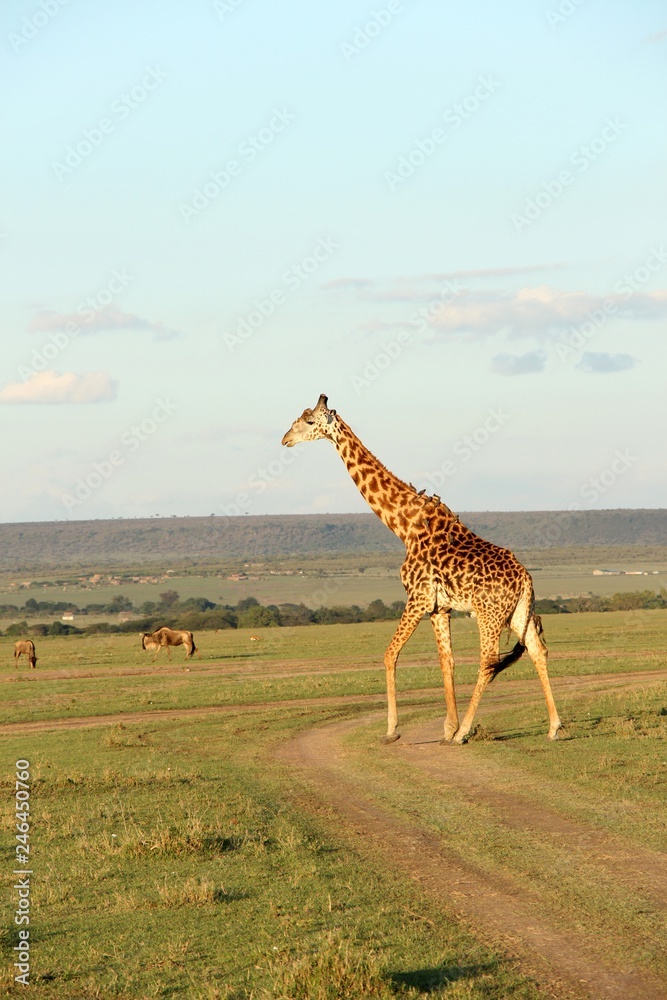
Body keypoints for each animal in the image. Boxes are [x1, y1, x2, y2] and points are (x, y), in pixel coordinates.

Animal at [282, 394, 562, 745]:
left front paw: (393, 730)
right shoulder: (439, 606)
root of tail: (525, 578)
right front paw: (447, 727)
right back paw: (554, 727)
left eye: (308, 421)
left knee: (488, 661)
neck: (403, 525)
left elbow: (390, 654)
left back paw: (466, 732)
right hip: (519, 611)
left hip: (489, 614)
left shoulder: (417, 598)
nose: (285, 439)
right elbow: (446, 661)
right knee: (538, 651)